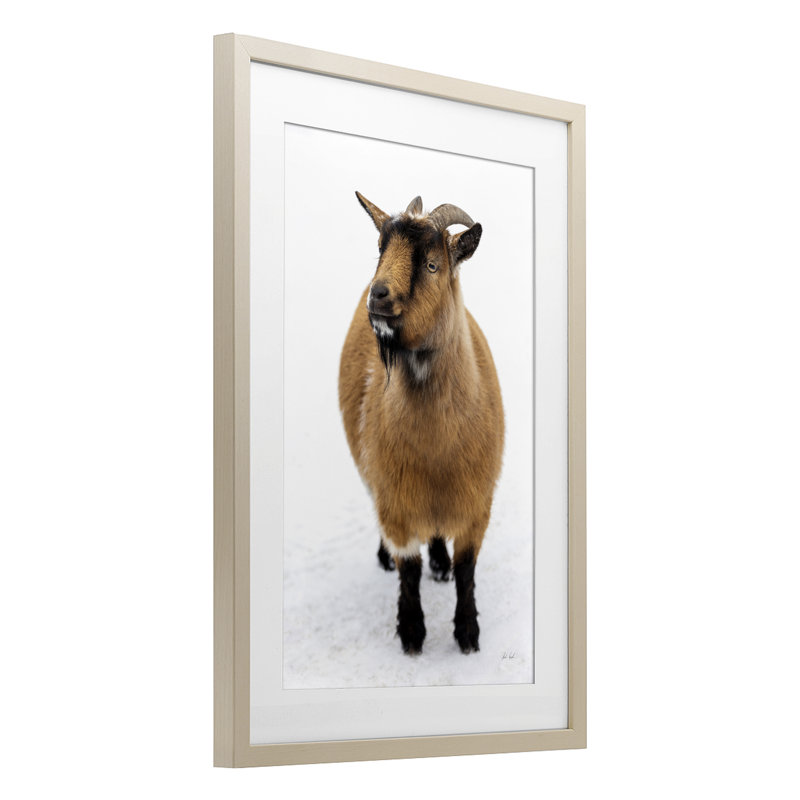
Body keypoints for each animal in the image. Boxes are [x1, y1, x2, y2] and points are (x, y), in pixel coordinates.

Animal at [338, 192, 505, 655]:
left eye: (432, 264)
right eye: (381, 249)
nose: (378, 295)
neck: (436, 449)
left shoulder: (476, 502)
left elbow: (467, 569)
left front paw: (468, 635)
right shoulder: (396, 498)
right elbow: (408, 570)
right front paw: (412, 633)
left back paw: (440, 563)